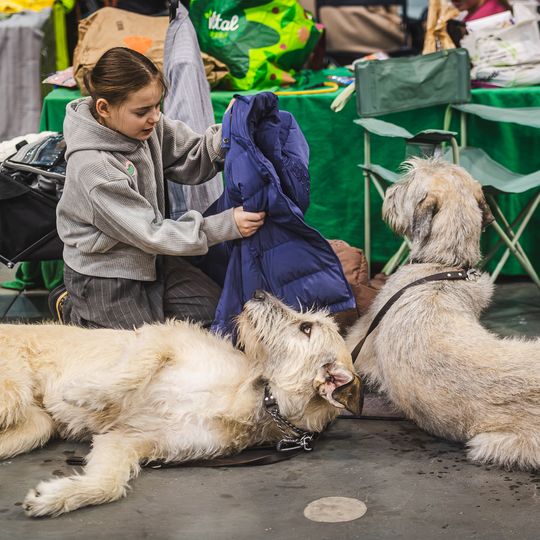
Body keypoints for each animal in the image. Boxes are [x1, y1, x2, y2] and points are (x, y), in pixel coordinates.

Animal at [0, 291, 361, 517]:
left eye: (305, 327)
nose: (258, 292)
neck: (255, 397)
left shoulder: (131, 439)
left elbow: (108, 483)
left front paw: (54, 498)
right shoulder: (165, 337)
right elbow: (133, 370)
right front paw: (85, 393)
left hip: (34, 425)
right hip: (11, 395)